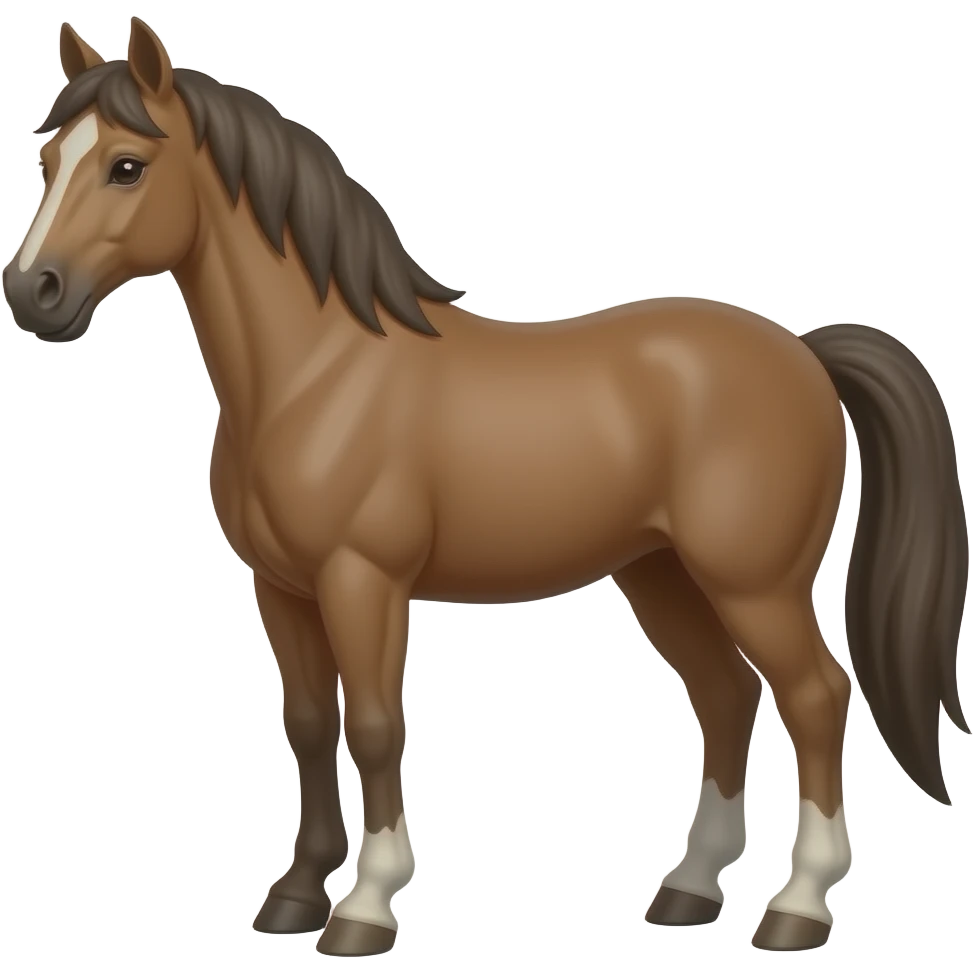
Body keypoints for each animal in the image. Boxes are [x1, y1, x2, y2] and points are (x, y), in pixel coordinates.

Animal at [3, 18, 967, 957]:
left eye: (128, 165)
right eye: (47, 165)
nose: (32, 291)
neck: (319, 374)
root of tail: (803, 350)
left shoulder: (363, 581)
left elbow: (375, 727)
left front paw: (366, 909)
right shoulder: (279, 589)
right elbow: (309, 724)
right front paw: (295, 894)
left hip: (752, 583)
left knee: (815, 696)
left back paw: (797, 905)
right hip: (660, 574)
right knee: (726, 695)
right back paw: (690, 889)